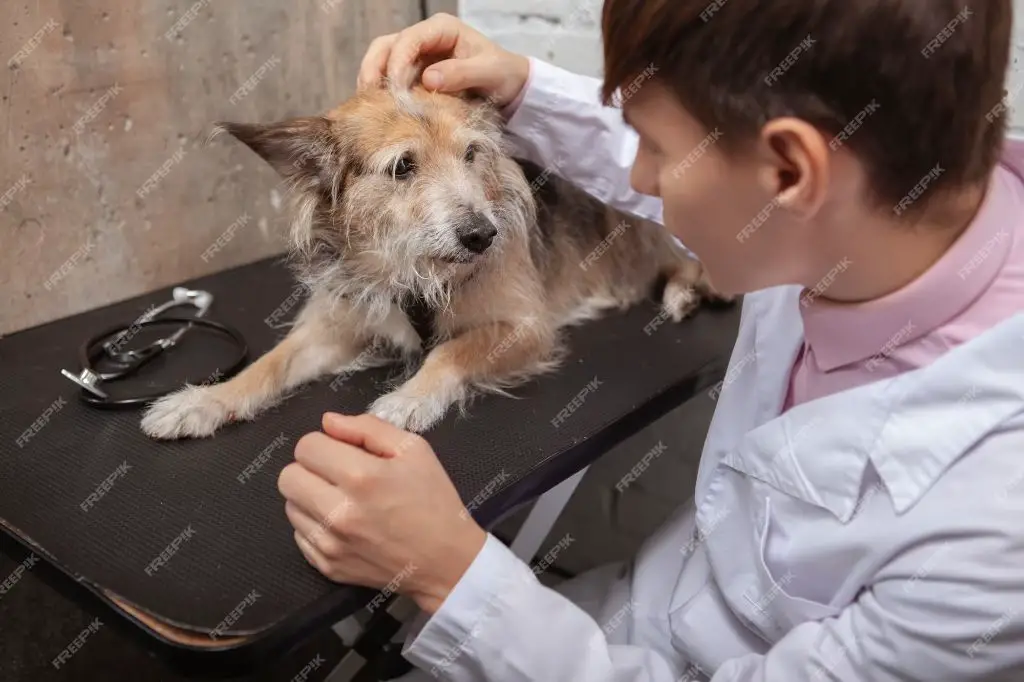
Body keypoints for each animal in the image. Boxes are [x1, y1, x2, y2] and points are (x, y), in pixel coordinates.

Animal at [138, 84, 729, 438]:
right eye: (403, 166)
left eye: (472, 154)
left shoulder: (526, 327)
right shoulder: (337, 325)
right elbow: (270, 363)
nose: (483, 236)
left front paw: (409, 398)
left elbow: (451, 352)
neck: (413, 270)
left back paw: (684, 292)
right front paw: (204, 401)